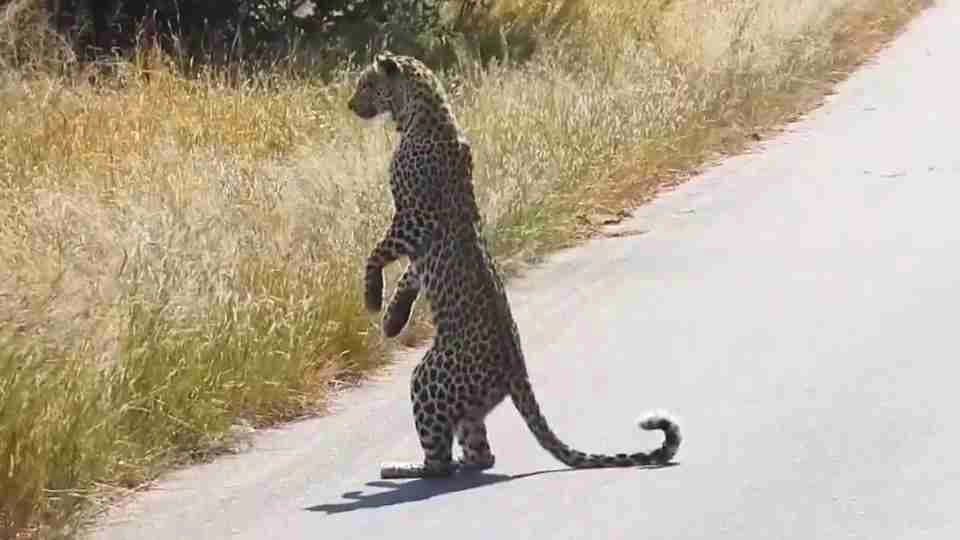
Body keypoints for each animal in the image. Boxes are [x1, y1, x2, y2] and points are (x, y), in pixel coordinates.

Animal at [348, 51, 682, 478]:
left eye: (367, 84)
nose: (350, 104)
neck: (421, 113)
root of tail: (516, 371)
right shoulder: (418, 241)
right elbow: (410, 276)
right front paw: (392, 320)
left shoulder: (412, 219)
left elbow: (376, 254)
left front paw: (372, 298)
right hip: (466, 402)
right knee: (480, 453)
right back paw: (452, 462)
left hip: (429, 377)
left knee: (440, 462)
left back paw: (401, 469)